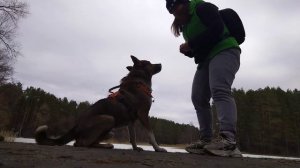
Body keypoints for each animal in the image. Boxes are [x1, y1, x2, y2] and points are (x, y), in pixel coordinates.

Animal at [35, 56, 168, 152]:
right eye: (150, 62)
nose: (161, 64)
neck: (139, 80)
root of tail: (76, 127)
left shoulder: (131, 122)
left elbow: (133, 137)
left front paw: (135, 148)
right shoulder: (143, 114)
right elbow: (151, 134)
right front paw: (158, 148)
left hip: (110, 131)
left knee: (89, 142)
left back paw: (106, 145)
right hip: (109, 119)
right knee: (81, 143)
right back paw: (104, 146)